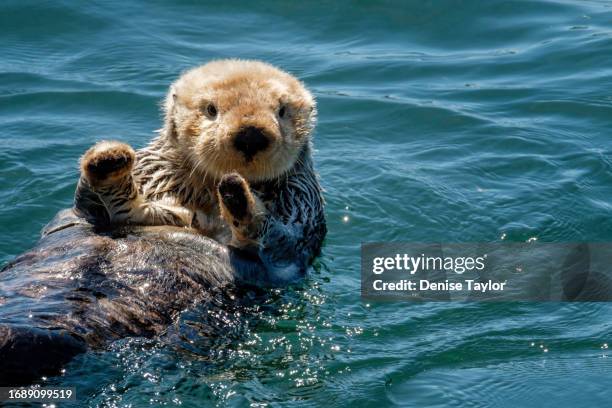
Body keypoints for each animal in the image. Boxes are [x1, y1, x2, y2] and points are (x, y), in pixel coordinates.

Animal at [0, 59, 328, 384]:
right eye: (211, 109)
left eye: (282, 111)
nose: (250, 135)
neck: (204, 198)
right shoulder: (139, 183)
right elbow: (99, 206)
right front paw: (108, 160)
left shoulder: (301, 208)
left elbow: (279, 243)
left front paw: (237, 194)